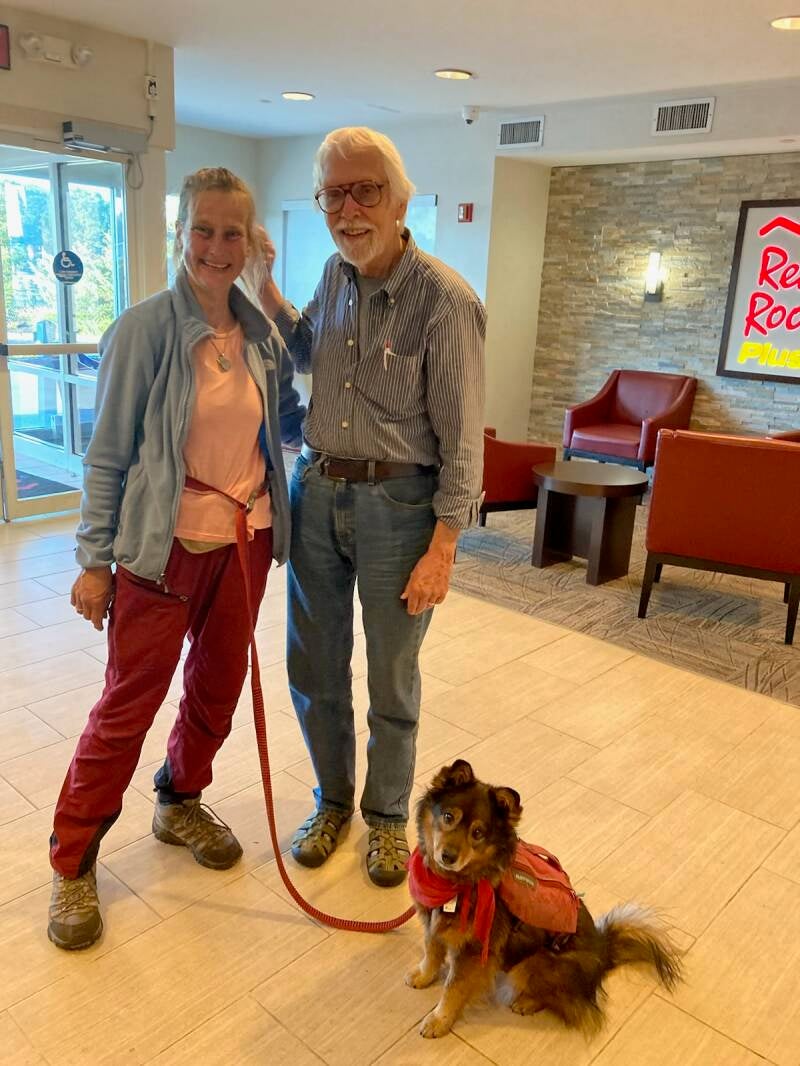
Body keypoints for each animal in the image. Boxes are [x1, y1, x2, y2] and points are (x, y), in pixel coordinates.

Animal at [405, 759, 683, 1039]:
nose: (448, 856)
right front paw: (423, 976)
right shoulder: (433, 924)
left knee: (557, 999)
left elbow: (453, 988)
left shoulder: (473, 952)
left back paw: (526, 1003)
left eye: (478, 833)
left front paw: (438, 1021)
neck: (455, 884)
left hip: (532, 963)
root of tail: (604, 954)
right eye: (448, 817)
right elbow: (432, 953)